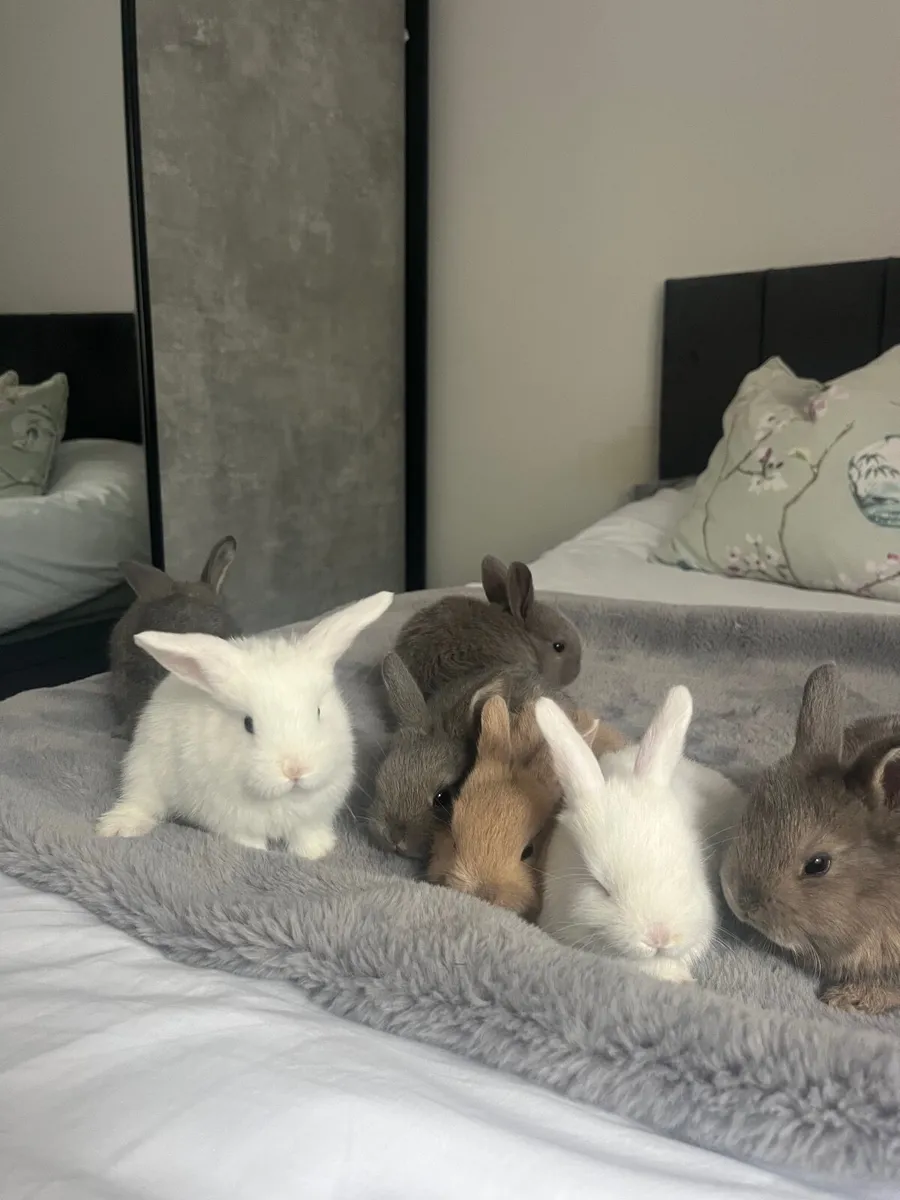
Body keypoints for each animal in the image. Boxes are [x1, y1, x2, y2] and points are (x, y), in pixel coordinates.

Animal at [96, 591, 394, 859]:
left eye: (319, 711)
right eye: (248, 724)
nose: (295, 770)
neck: (283, 797)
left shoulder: (312, 817)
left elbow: (306, 835)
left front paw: (317, 853)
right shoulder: (232, 819)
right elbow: (247, 840)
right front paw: (255, 851)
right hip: (144, 769)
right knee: (141, 801)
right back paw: (118, 828)